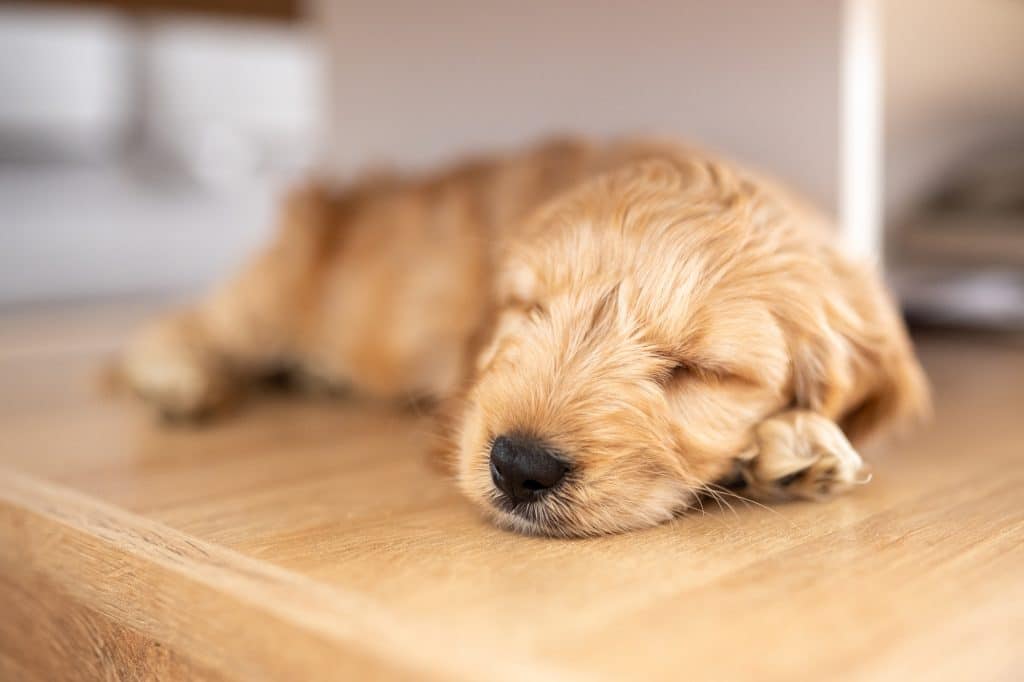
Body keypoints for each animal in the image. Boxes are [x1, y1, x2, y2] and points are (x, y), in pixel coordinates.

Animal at [119, 137, 929, 536]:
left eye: (702, 370)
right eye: (529, 309)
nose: (518, 467)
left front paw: (793, 445)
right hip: (284, 280)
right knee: (188, 326)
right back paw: (179, 377)